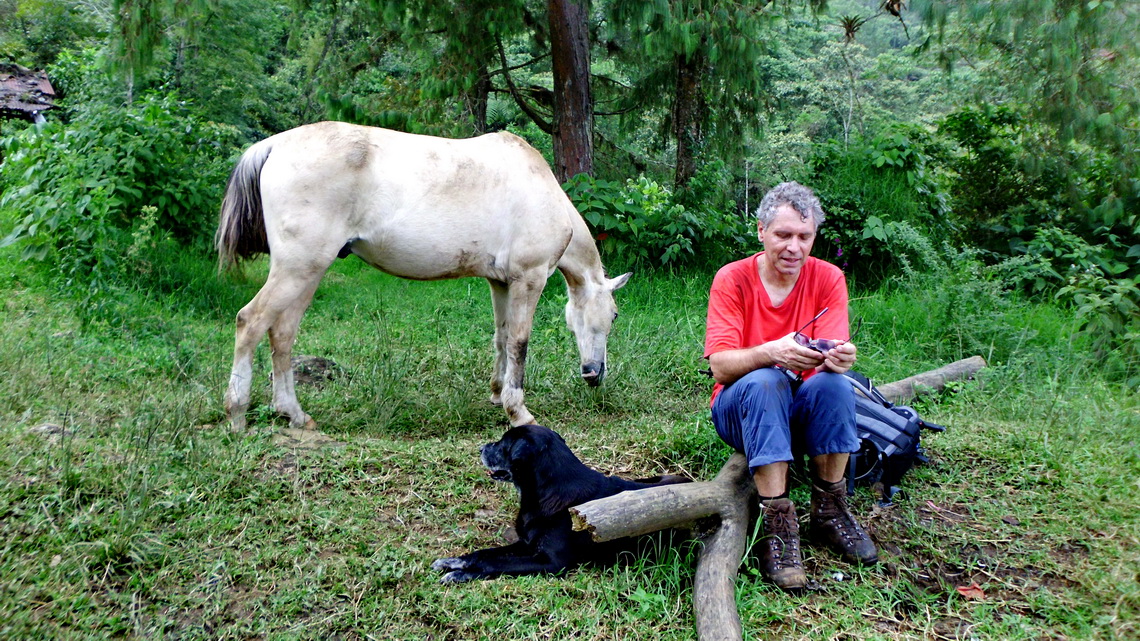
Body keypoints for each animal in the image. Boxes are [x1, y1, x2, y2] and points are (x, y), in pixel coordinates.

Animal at [214, 120, 633, 428]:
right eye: (613, 315)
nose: (594, 374)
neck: (542, 190)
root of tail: (274, 146)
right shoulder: (528, 279)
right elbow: (519, 343)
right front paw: (518, 412)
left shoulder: (500, 282)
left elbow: (500, 338)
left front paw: (497, 394)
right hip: (298, 270)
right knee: (250, 322)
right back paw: (237, 416)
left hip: (306, 273)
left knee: (282, 334)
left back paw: (295, 415)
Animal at [433, 422, 684, 581]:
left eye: (503, 444)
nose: (480, 448)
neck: (544, 493)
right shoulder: (526, 543)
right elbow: (485, 553)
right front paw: (456, 561)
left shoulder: (551, 561)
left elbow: (497, 563)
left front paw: (463, 573)